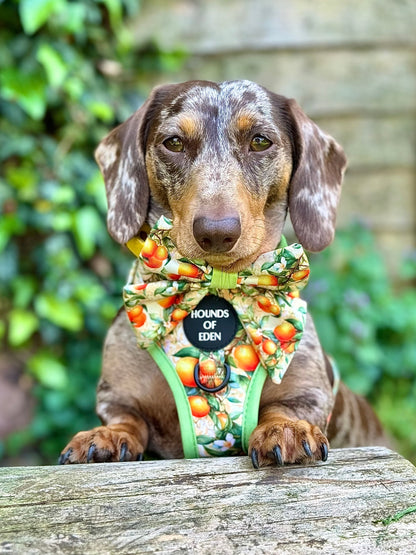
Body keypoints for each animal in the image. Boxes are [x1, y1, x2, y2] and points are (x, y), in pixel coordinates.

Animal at [59, 80, 386, 466]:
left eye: (260, 141)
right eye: (173, 142)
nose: (216, 232)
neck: (215, 287)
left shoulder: (308, 392)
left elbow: (284, 409)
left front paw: (285, 429)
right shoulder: (119, 397)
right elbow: (127, 419)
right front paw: (107, 436)